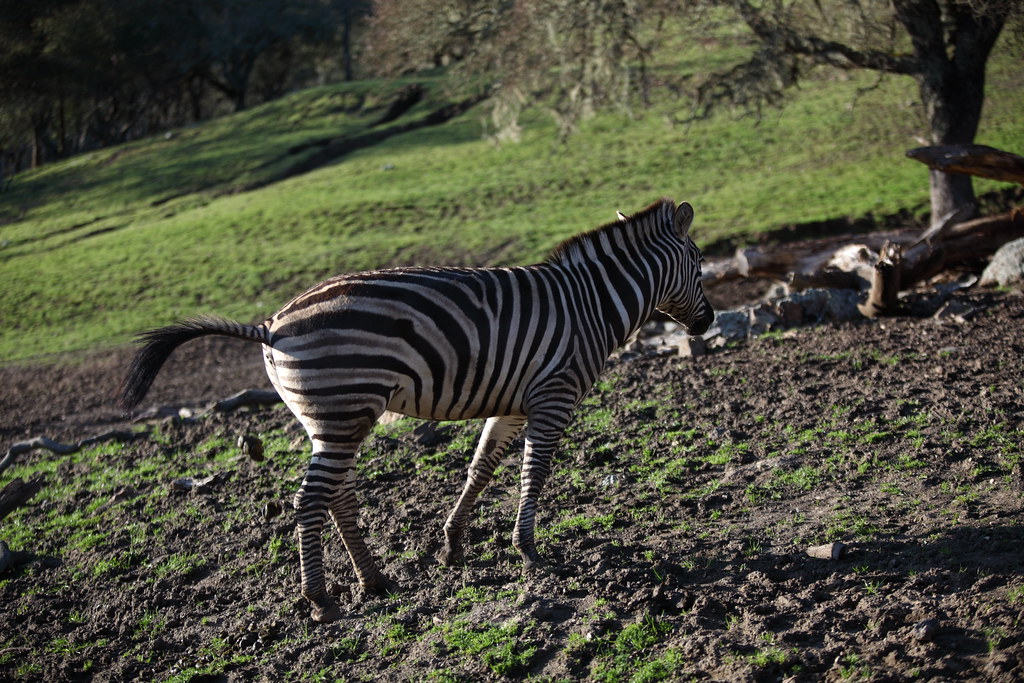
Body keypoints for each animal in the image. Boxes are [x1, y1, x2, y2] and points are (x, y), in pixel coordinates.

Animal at [119, 198, 714, 623]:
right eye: (702, 265)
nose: (707, 323)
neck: (591, 304)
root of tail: (270, 324)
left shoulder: (515, 401)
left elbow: (480, 468)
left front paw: (452, 545)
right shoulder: (555, 394)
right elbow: (534, 472)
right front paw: (527, 548)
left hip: (335, 419)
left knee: (337, 495)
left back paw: (375, 581)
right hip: (344, 411)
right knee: (310, 501)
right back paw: (322, 599)